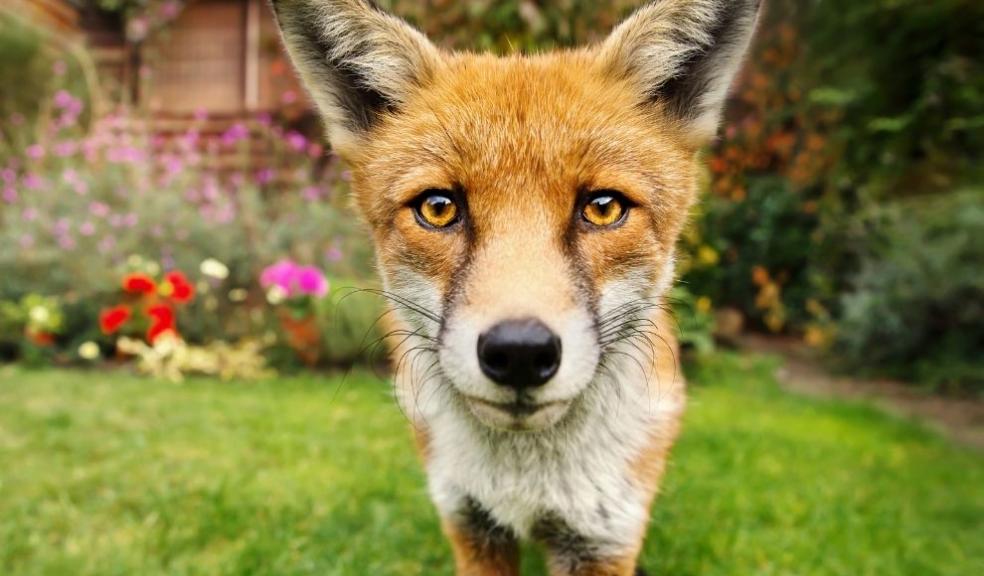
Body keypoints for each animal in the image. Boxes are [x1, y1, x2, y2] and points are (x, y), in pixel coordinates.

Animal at [270, 1, 760, 572]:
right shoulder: (471, 525)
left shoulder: (601, 538)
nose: (520, 351)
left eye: (603, 207)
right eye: (438, 208)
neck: (525, 483)